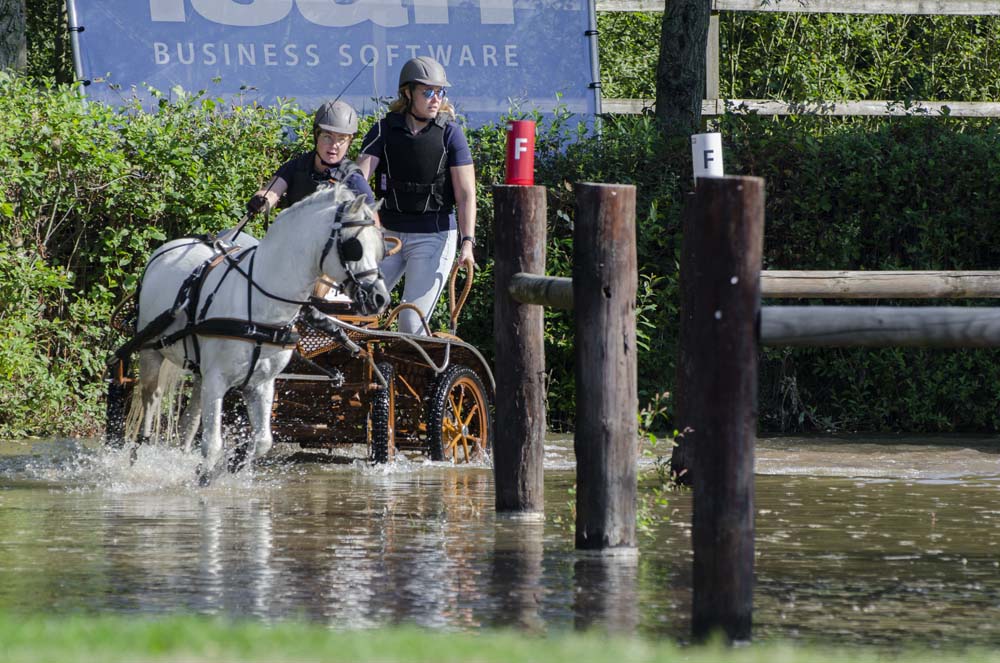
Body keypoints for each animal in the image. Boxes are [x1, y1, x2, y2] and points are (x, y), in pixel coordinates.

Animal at [130, 184, 386, 486]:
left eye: (380, 248)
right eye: (354, 247)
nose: (381, 298)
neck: (261, 304)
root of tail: (170, 246)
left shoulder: (261, 383)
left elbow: (263, 440)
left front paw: (232, 465)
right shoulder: (218, 379)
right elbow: (213, 443)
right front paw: (206, 477)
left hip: (199, 369)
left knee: (190, 419)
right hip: (151, 351)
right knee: (152, 398)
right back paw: (139, 453)